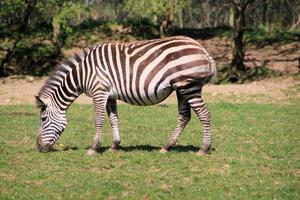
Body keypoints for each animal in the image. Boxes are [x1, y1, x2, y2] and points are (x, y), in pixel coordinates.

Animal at [35, 36, 216, 157]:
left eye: (43, 119)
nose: (39, 147)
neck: (83, 74)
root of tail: (202, 47)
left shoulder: (99, 91)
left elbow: (98, 119)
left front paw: (93, 148)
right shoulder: (110, 95)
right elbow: (113, 119)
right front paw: (114, 146)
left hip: (189, 87)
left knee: (205, 115)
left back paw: (203, 148)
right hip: (181, 88)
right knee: (184, 116)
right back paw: (167, 147)